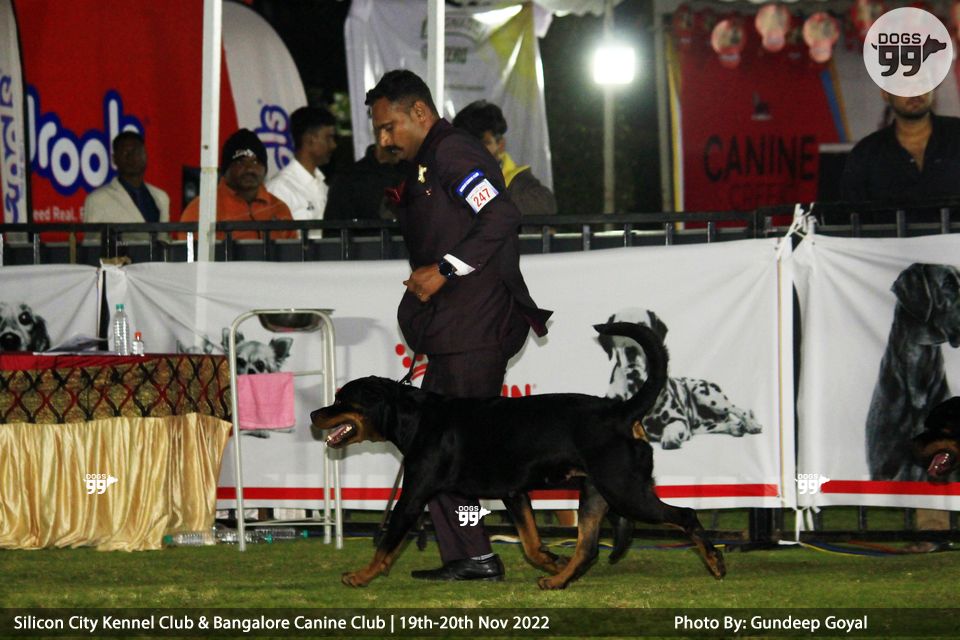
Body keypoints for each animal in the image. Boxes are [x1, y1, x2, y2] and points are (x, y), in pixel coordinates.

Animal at [311, 322, 726, 589]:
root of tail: (621, 411)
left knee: (685, 516)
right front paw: (551, 559)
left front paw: (360, 576)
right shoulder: (514, 493)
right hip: (595, 492)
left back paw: (715, 562)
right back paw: (557, 580)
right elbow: (530, 542)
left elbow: (388, 543)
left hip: (624, 489)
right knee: (587, 547)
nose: (315, 414)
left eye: (343, 399)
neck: (414, 418)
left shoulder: (413, 496)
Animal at [599, 308, 763, 449]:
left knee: (740, 410)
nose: (630, 350)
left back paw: (752, 425)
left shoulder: (679, 420)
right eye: (618, 331)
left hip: (707, 395)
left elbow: (671, 428)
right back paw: (734, 427)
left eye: (642, 326)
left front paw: (670, 438)